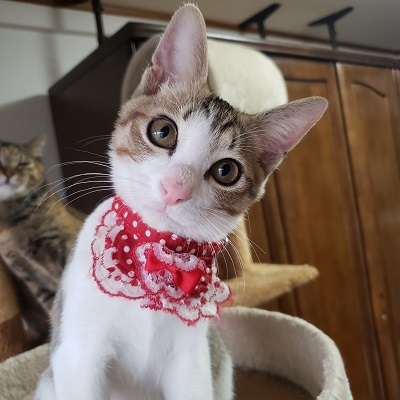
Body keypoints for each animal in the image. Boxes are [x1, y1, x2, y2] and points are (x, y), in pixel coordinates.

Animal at [36, 4, 327, 400]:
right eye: (162, 131)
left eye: (226, 171)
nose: (175, 188)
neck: (151, 250)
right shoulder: (77, 352)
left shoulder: (192, 360)